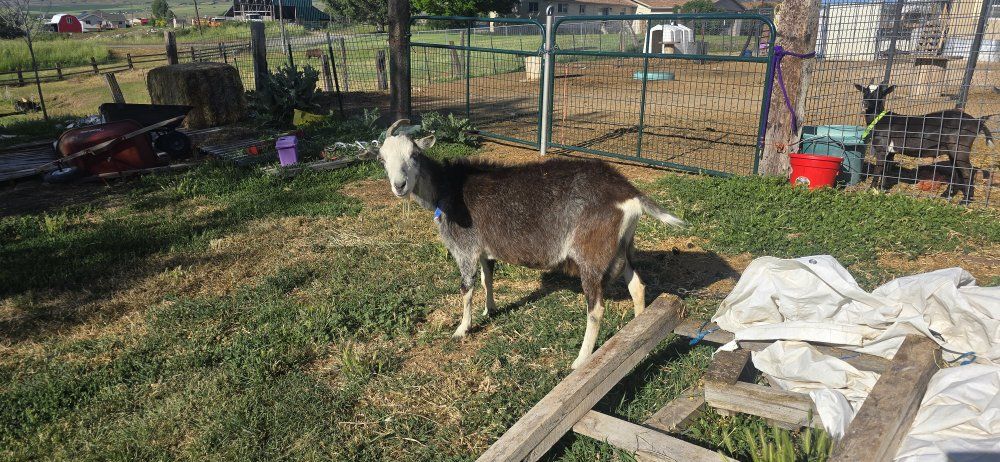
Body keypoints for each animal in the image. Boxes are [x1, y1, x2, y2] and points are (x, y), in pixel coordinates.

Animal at [377, 119, 685, 369]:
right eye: (382, 159)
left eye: (415, 155)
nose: (399, 185)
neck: (447, 189)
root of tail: (629, 193)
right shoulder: (485, 248)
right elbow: (488, 278)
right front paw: (490, 310)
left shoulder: (465, 248)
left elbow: (467, 288)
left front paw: (462, 328)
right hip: (621, 248)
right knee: (637, 286)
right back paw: (638, 332)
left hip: (591, 254)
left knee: (596, 308)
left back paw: (581, 360)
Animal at [854, 83, 994, 203]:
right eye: (865, 91)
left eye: (880, 93)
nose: (865, 103)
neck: (881, 120)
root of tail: (977, 121)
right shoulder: (890, 152)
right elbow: (886, 170)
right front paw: (881, 189)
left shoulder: (882, 149)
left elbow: (878, 170)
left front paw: (870, 189)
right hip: (952, 150)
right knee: (957, 171)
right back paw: (947, 194)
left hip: (960, 148)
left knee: (967, 171)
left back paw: (965, 200)